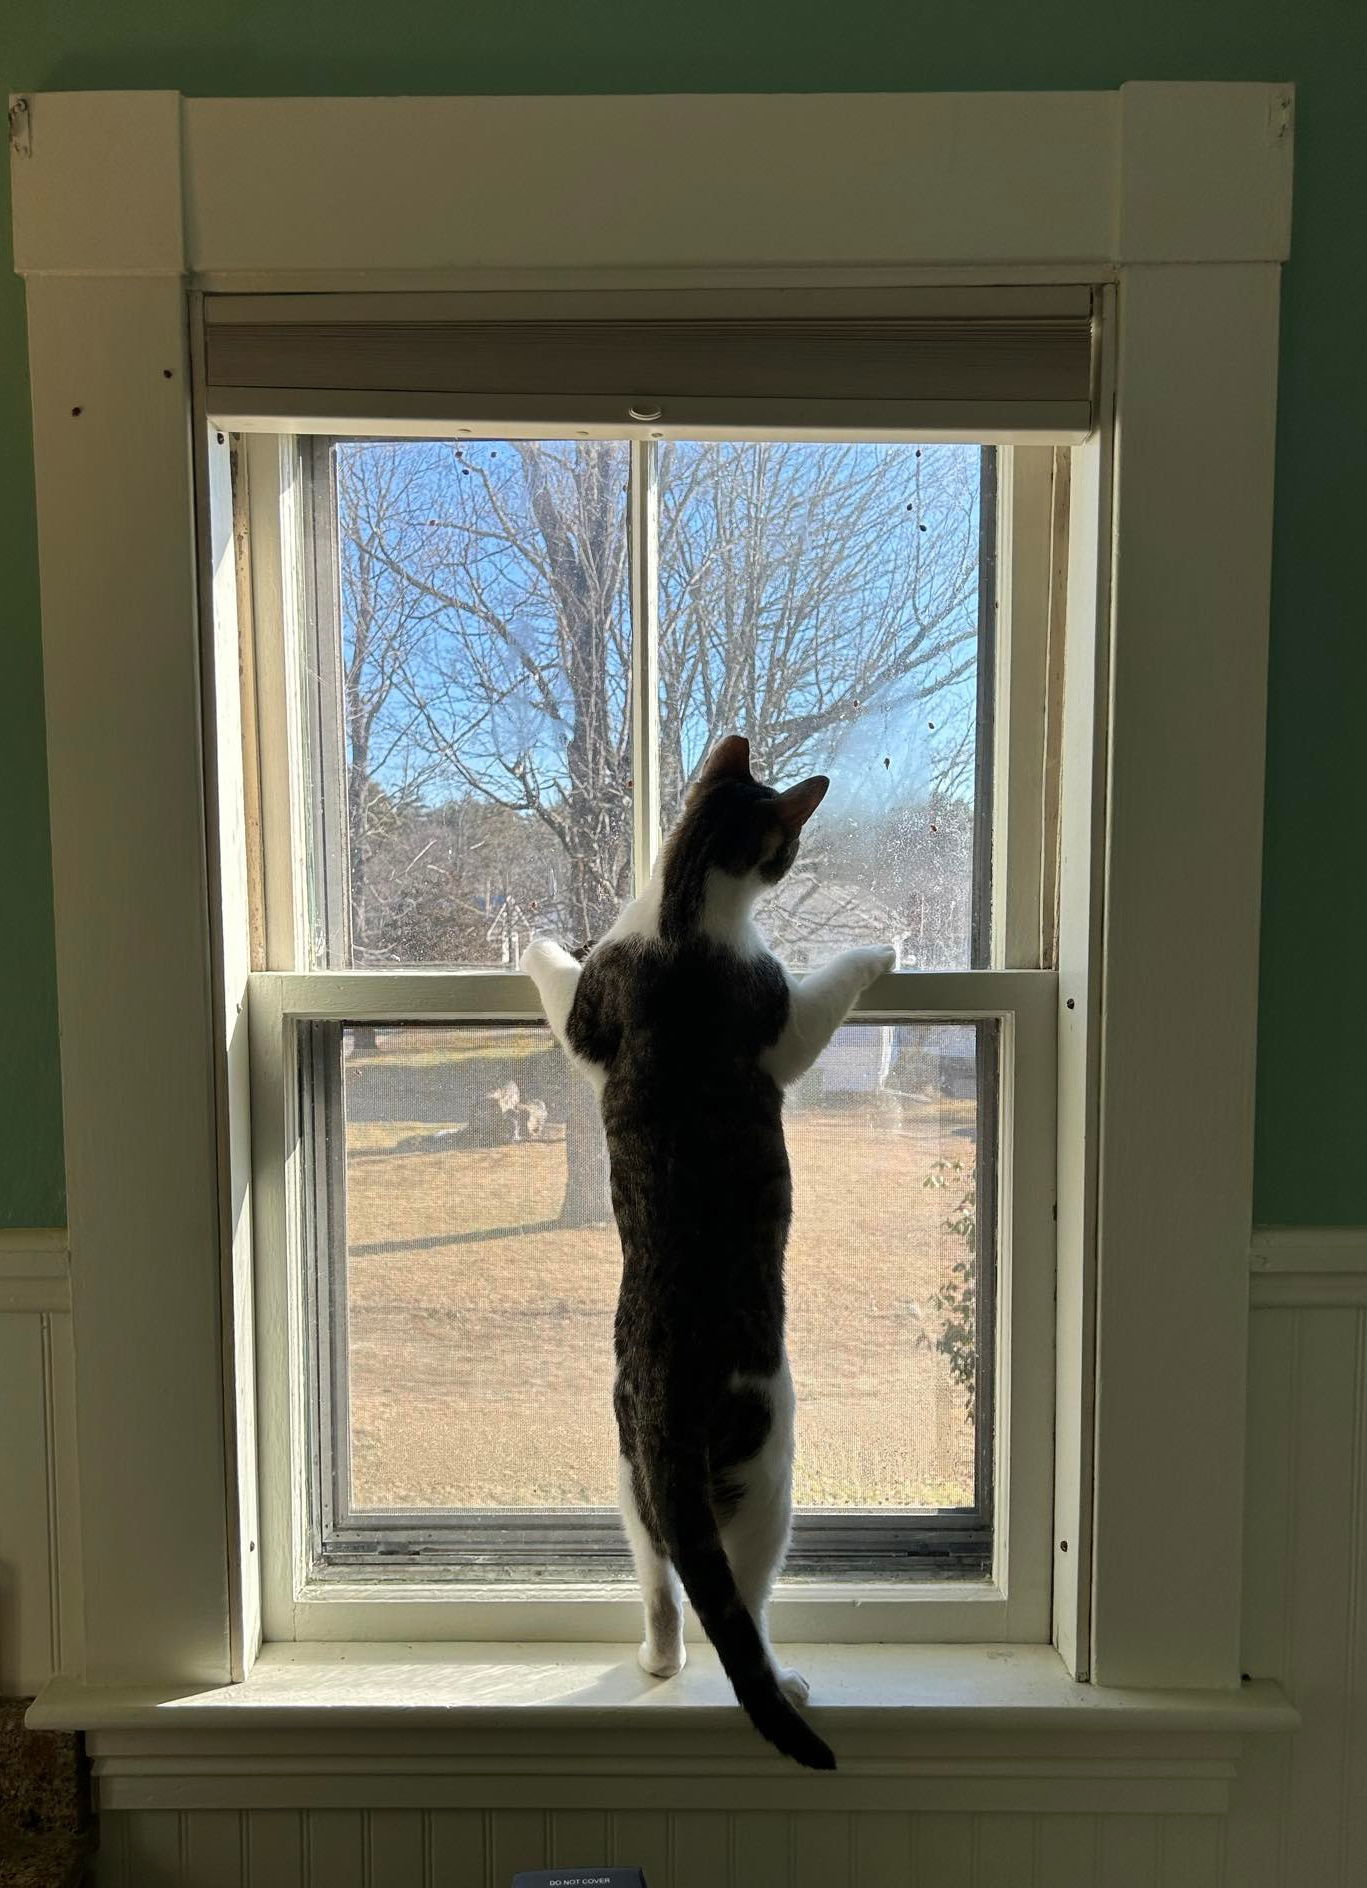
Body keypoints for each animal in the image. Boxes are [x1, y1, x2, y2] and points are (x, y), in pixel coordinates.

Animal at [524, 732, 898, 1767]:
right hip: (769, 1475)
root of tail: (667, 1391)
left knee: (659, 1581)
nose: (795, 857)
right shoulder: (778, 1017)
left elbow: (565, 994)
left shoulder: (594, 1016)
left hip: (624, 1473)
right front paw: (878, 948)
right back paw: (783, 1677)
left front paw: (541, 940)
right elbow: (819, 999)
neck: (683, 910)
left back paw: (657, 1663)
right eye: (787, 845)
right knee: (742, 1596)